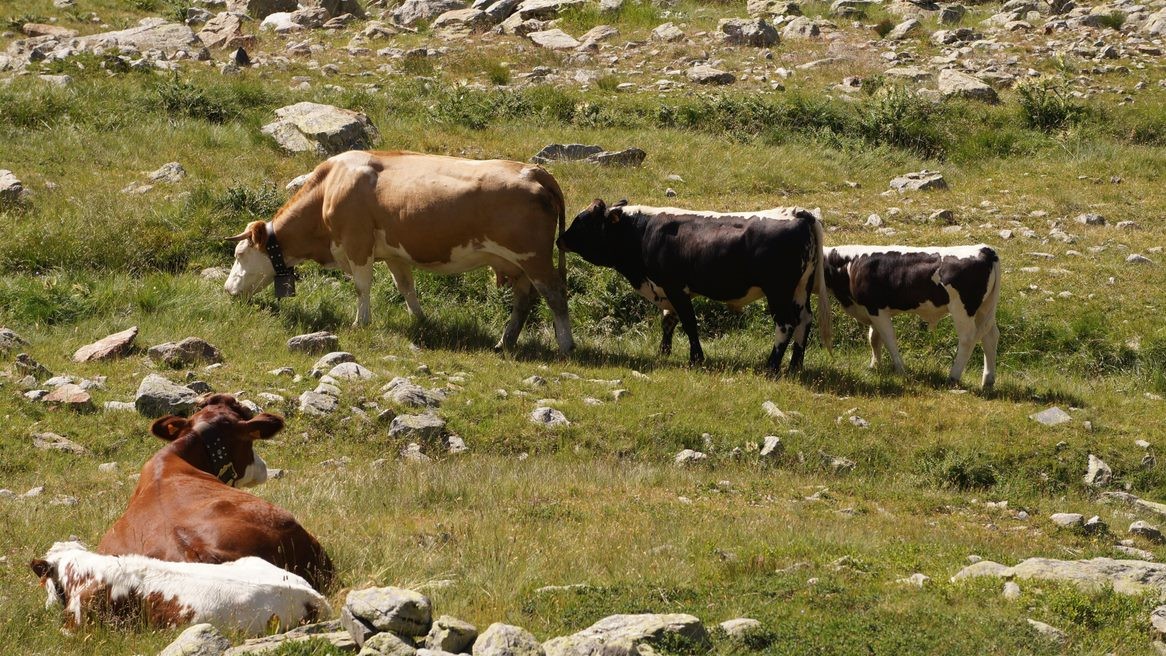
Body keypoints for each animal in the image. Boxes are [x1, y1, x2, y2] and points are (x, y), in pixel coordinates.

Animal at [224, 150, 574, 355]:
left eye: (239, 254)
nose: (228, 290)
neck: (329, 187)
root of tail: (534, 170)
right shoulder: (393, 253)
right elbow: (405, 286)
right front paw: (420, 320)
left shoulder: (357, 244)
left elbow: (362, 286)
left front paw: (361, 322)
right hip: (518, 264)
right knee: (524, 300)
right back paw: (505, 341)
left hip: (534, 258)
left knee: (555, 295)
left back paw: (566, 345)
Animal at [557, 200, 832, 375]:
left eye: (583, 222)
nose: (560, 239)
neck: (643, 232)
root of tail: (797, 212)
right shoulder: (666, 289)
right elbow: (668, 321)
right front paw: (663, 352)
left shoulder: (674, 286)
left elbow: (689, 322)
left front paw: (696, 359)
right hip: (800, 290)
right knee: (804, 321)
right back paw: (795, 367)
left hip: (778, 290)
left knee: (786, 323)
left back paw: (772, 367)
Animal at [822, 245, 1001, 388]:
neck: (851, 264)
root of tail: (985, 249)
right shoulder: (871, 309)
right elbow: (874, 339)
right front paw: (875, 367)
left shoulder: (876, 309)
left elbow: (888, 339)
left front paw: (900, 370)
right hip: (984, 309)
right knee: (990, 337)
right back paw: (988, 381)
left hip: (962, 309)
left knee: (967, 339)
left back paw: (953, 377)